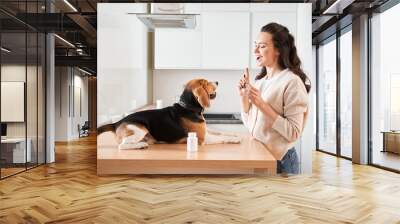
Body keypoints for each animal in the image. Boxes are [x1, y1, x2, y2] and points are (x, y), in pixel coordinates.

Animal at [97, 78, 241, 150]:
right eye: (206, 83)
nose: (217, 82)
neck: (188, 108)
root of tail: (117, 123)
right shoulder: (202, 138)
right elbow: (221, 137)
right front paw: (236, 139)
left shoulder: (206, 130)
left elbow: (220, 132)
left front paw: (234, 133)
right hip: (140, 129)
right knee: (122, 146)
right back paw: (141, 145)